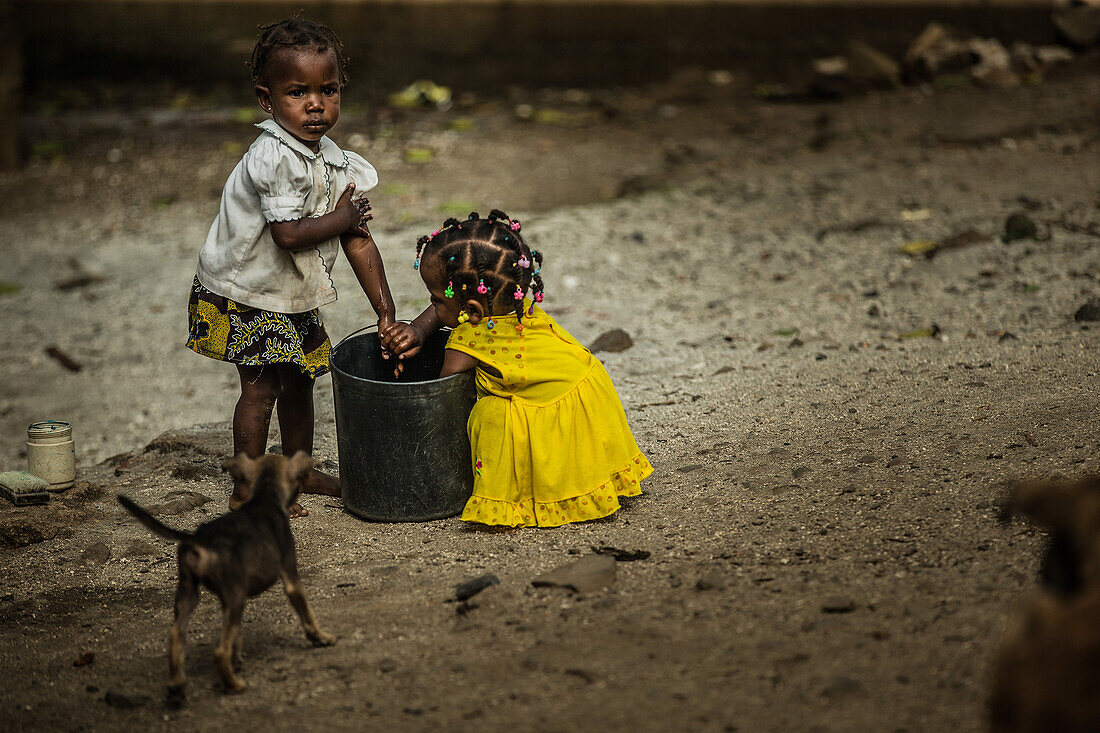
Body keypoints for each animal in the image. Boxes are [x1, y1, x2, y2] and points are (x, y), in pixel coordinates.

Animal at [118, 449, 334, 704]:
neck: (264, 498)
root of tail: (198, 538)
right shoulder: (290, 576)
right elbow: (307, 614)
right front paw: (321, 637)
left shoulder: (224, 598)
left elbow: (236, 635)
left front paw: (237, 658)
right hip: (236, 596)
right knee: (219, 651)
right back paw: (233, 684)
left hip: (189, 591)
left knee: (175, 635)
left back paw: (177, 685)